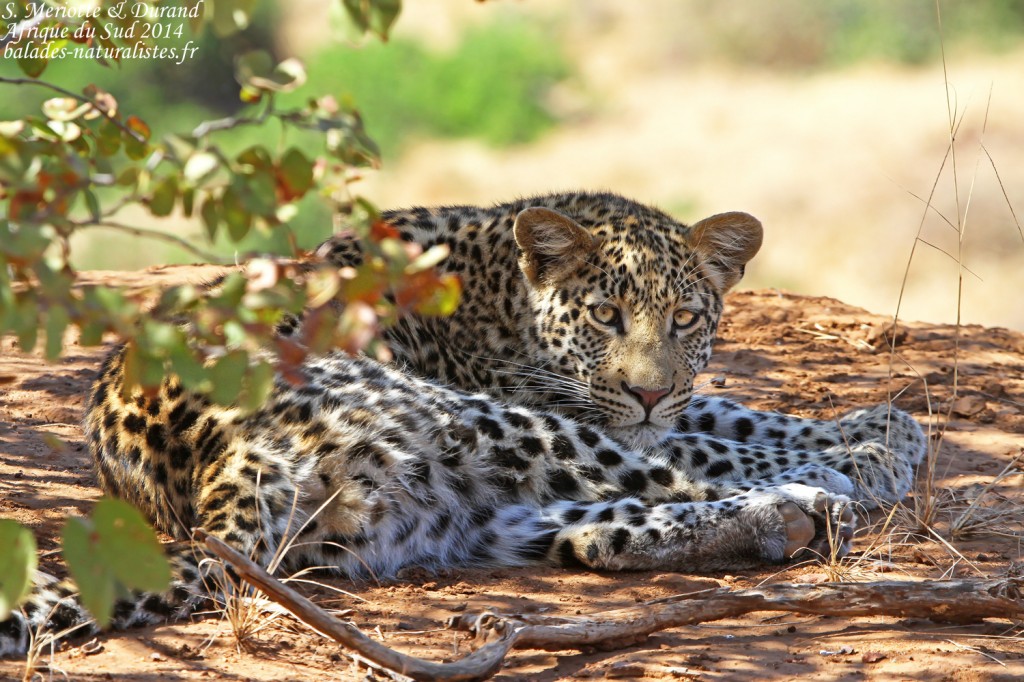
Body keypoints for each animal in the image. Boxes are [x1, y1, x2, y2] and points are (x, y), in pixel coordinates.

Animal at [0, 191, 926, 657]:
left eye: (687, 317)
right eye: (606, 315)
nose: (645, 391)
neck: (506, 291)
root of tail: (207, 469)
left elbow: (723, 408)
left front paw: (884, 426)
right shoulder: (566, 403)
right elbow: (705, 434)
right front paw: (866, 451)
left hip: (451, 507)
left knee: (601, 531)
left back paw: (789, 518)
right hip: (476, 427)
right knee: (652, 486)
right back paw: (816, 497)